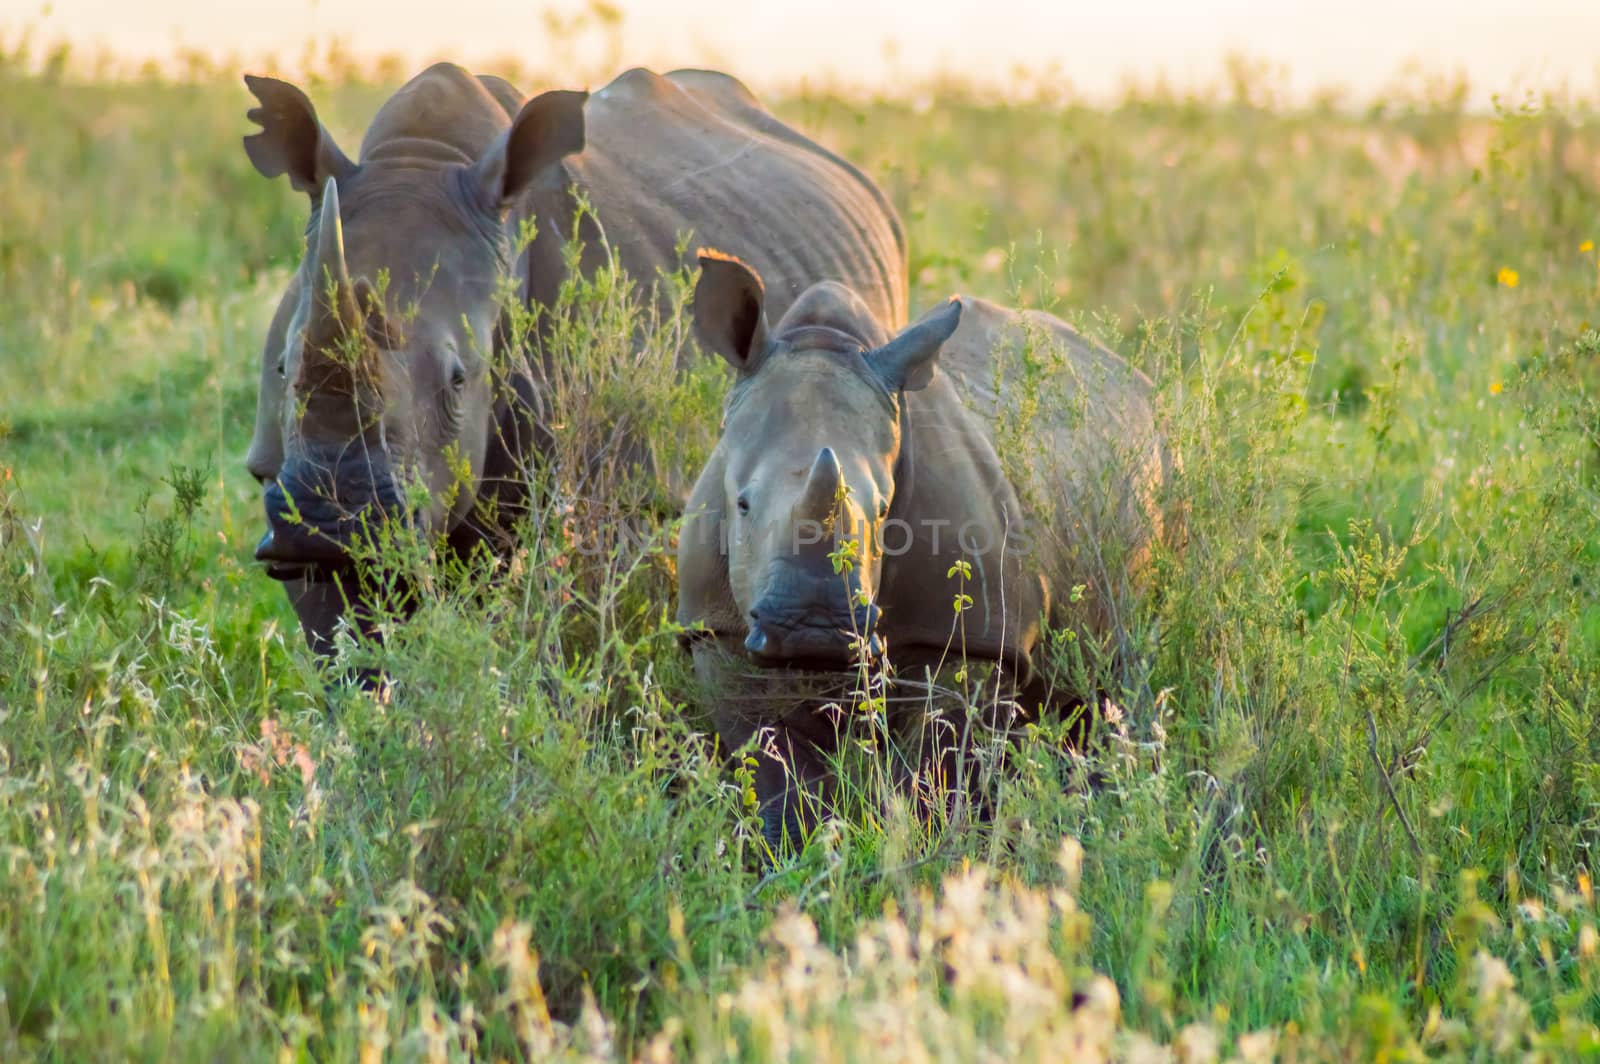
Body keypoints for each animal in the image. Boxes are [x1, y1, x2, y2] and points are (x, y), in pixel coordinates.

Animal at [241, 64, 908, 656]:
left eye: (458, 380)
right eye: (282, 369)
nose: (327, 521)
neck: (422, 159)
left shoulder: (615, 486)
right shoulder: (280, 477)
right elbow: (348, 646)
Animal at [675, 249, 1177, 844]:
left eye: (884, 511)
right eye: (742, 505)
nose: (813, 629)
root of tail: (1127, 374)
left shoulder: (972, 641)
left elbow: (936, 772)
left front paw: (932, 847)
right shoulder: (717, 631)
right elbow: (775, 774)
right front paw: (798, 851)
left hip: (1161, 464)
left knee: (1114, 683)